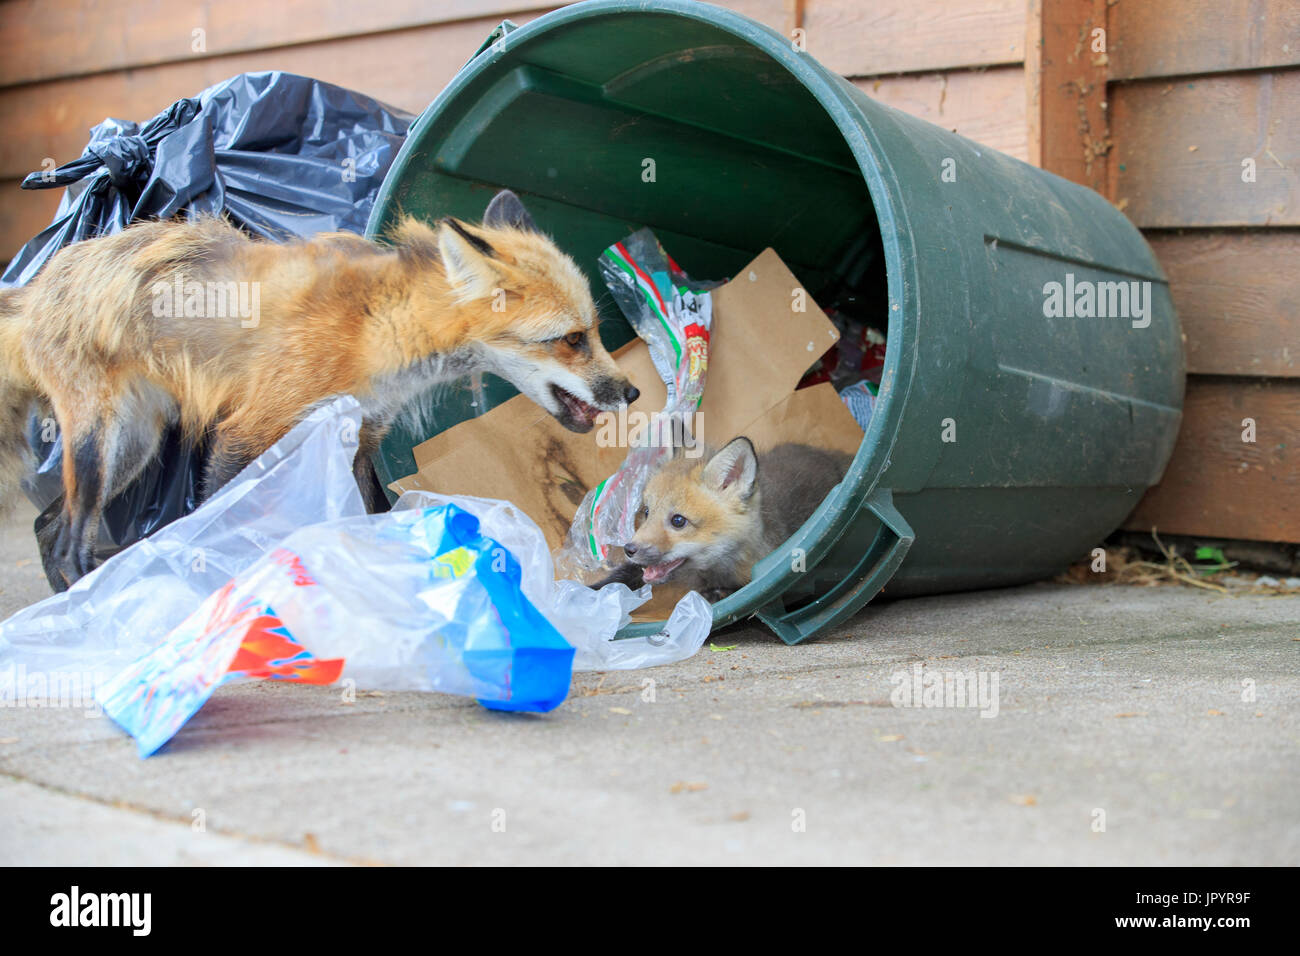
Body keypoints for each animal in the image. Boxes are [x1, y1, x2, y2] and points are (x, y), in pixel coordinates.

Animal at [0, 189, 638, 589]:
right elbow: (215, 521)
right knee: (68, 542)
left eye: (596, 330)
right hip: (102, 445)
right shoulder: (248, 429)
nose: (630, 393)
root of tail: (34, 290)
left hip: (130, 450)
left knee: (47, 528)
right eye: (571, 339)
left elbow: (366, 517)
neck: (375, 328)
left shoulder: (360, 436)